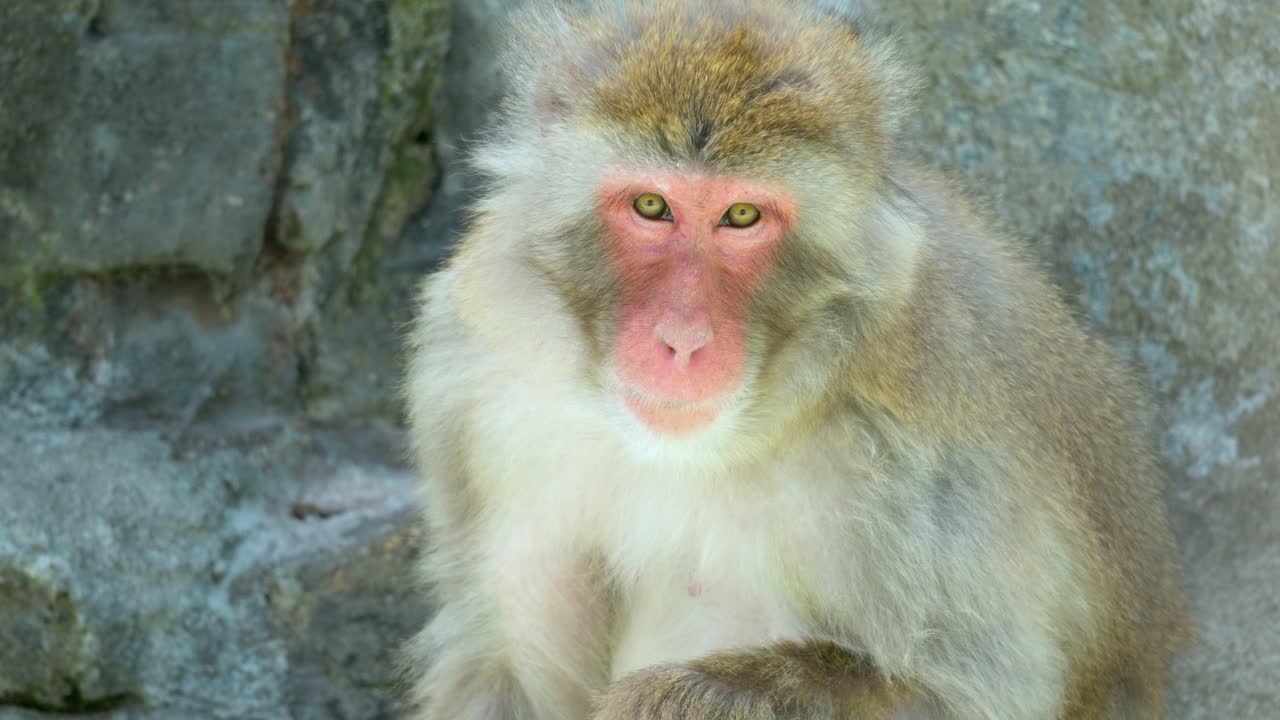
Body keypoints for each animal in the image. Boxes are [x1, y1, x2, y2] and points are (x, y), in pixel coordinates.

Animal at [400, 1, 1189, 718]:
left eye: (742, 217)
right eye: (652, 206)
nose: (683, 339)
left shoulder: (931, 470)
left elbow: (971, 693)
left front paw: (682, 697)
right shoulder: (481, 396)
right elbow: (502, 668)